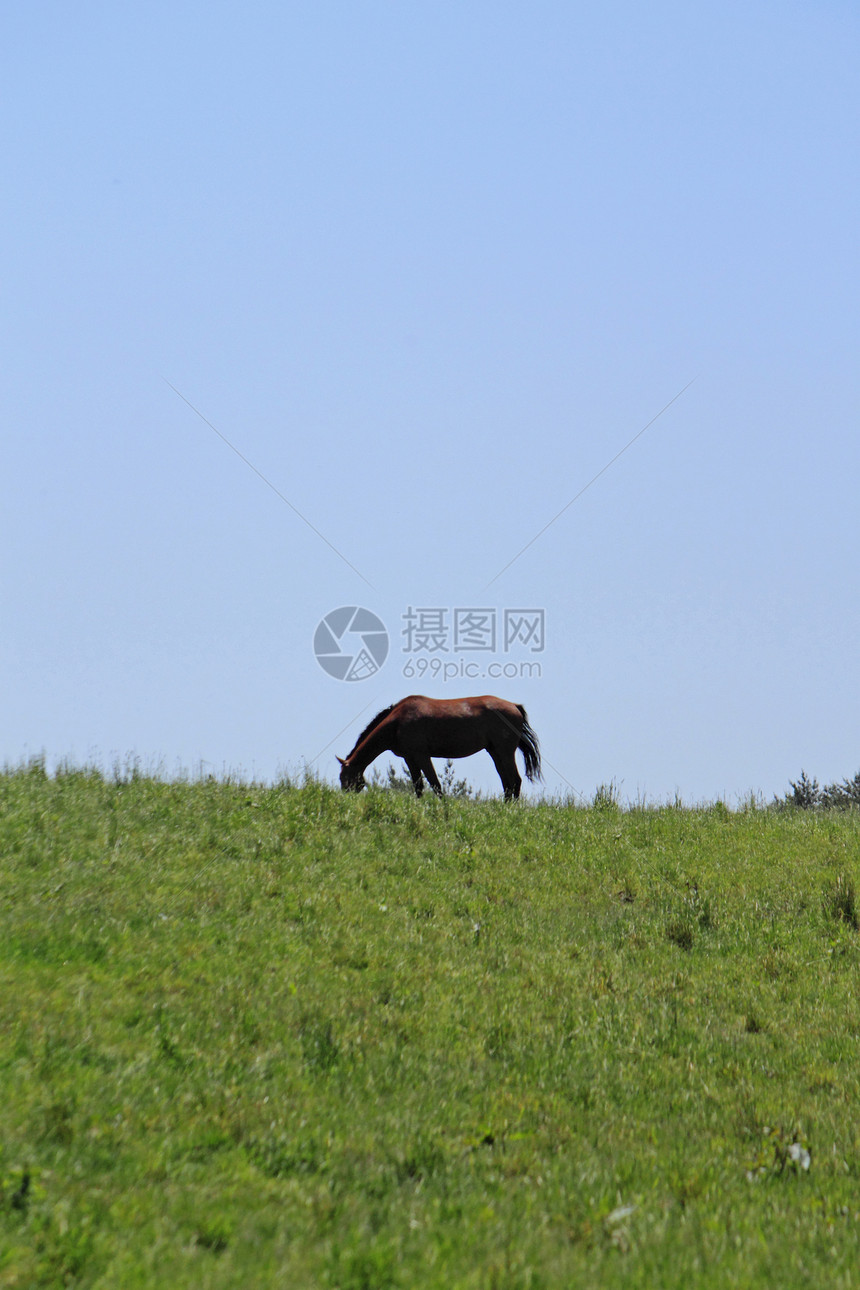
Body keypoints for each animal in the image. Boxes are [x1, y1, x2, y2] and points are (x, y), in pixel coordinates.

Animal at [335, 696, 538, 794]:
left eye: (344, 777)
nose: (346, 797)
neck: (397, 722)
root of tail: (514, 706)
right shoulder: (410, 759)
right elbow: (418, 786)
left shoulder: (422, 756)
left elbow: (435, 785)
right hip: (495, 753)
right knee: (507, 783)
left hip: (505, 753)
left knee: (515, 781)